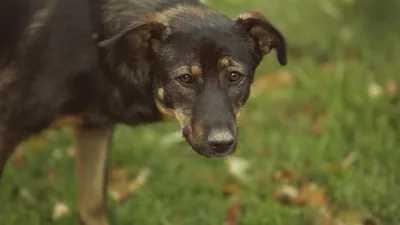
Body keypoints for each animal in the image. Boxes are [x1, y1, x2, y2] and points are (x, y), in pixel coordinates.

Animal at [0, 0, 288, 223]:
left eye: (234, 76)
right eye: (185, 78)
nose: (222, 144)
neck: (98, 41)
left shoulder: (95, 128)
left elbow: (93, 206)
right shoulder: (7, 126)